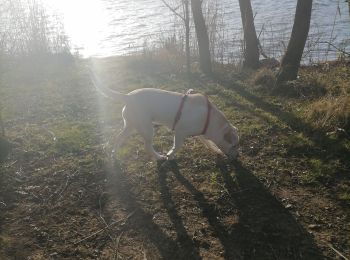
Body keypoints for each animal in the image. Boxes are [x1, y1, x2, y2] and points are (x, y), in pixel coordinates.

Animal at [89, 70, 238, 160]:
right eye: (234, 146)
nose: (237, 156)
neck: (210, 118)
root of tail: (128, 97)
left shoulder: (200, 132)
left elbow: (208, 142)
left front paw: (216, 150)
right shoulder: (180, 132)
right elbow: (176, 147)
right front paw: (170, 155)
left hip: (131, 126)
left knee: (118, 138)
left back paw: (114, 155)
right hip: (147, 129)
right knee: (147, 147)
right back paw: (159, 157)